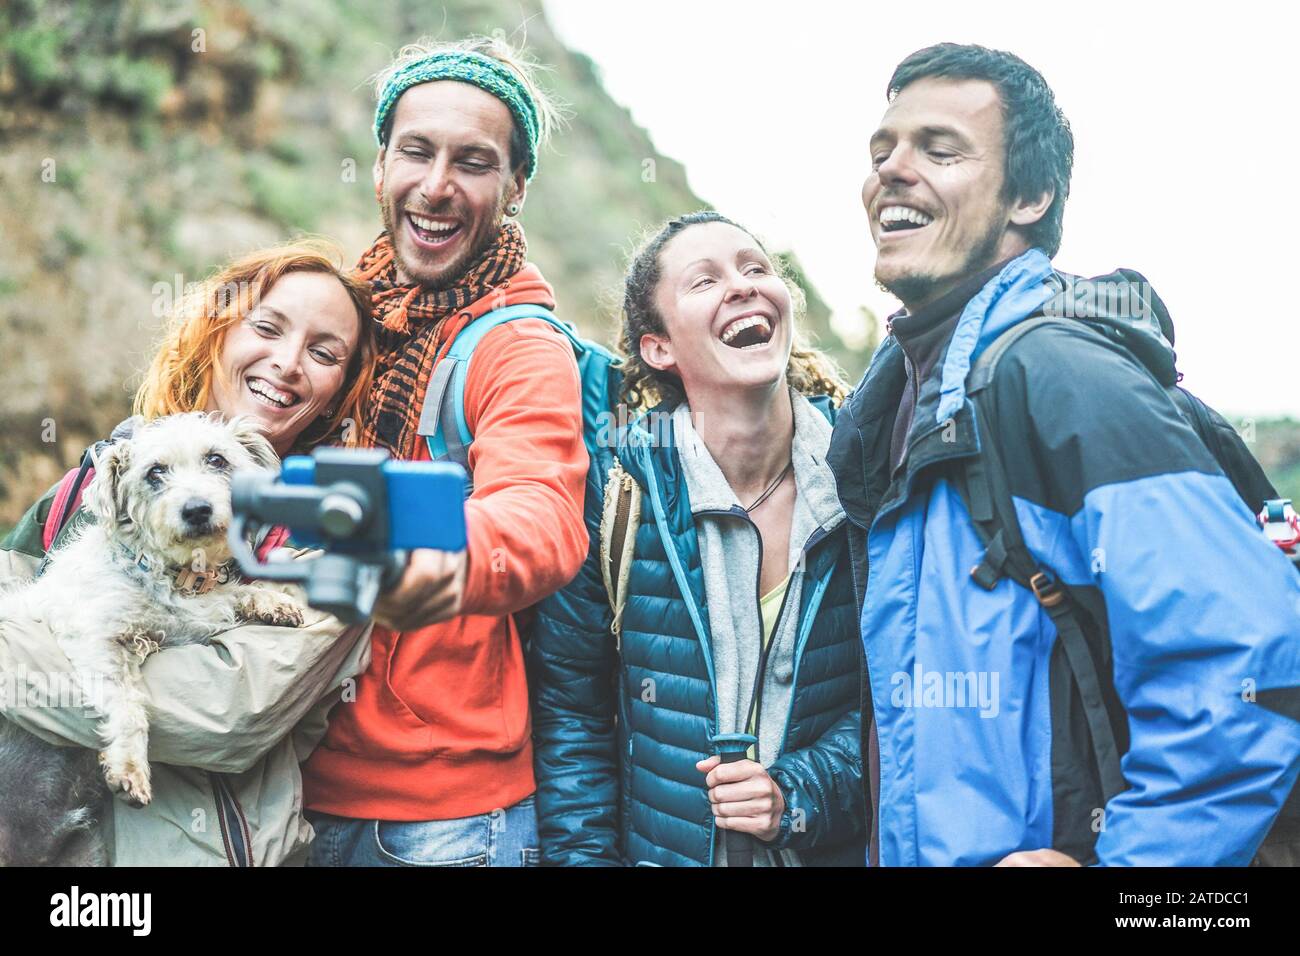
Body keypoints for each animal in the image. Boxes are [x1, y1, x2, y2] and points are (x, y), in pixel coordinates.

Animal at [0, 416, 305, 863]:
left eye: (217, 459)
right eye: (155, 472)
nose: (196, 509)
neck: (173, 575)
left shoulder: (193, 617)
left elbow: (229, 596)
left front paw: (271, 600)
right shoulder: (97, 638)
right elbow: (129, 707)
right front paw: (129, 768)